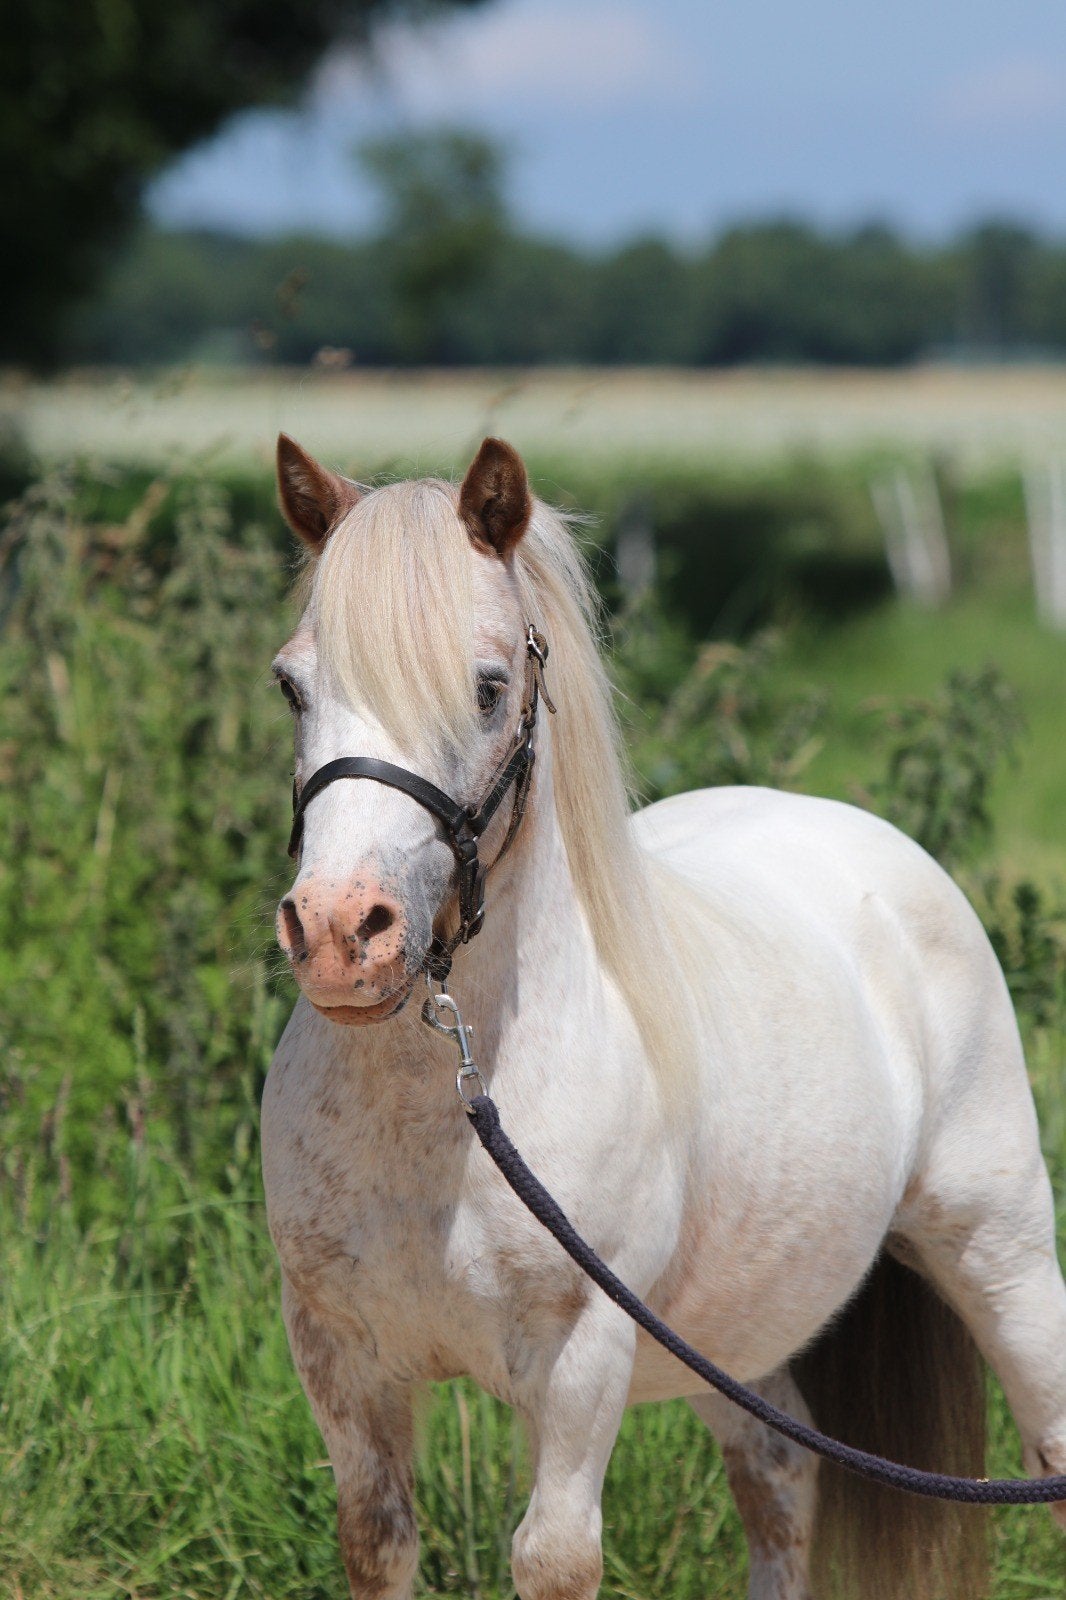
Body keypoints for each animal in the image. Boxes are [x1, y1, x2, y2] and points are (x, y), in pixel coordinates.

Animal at [261, 432, 1066, 1600]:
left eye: (489, 687)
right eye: (292, 685)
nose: (336, 931)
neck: (444, 1125)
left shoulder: (581, 1359)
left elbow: (554, 1559)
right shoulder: (339, 1360)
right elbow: (377, 1542)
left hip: (1001, 1257)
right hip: (731, 1341)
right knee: (780, 1477)